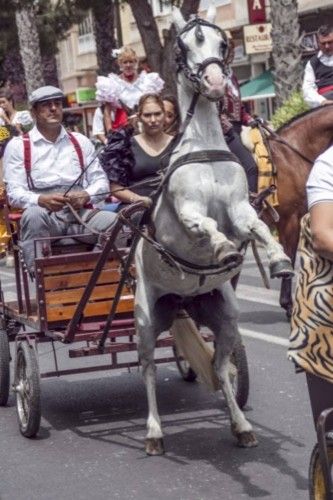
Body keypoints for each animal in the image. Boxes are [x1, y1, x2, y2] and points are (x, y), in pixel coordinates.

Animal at [134, 4, 292, 458]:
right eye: (185, 45)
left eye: (223, 44)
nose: (218, 82)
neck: (203, 146)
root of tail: (180, 304)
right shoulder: (187, 210)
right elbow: (202, 225)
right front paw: (223, 248)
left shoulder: (240, 207)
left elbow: (257, 227)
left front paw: (279, 260)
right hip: (146, 320)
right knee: (148, 370)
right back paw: (154, 433)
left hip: (225, 317)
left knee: (222, 367)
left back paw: (240, 426)